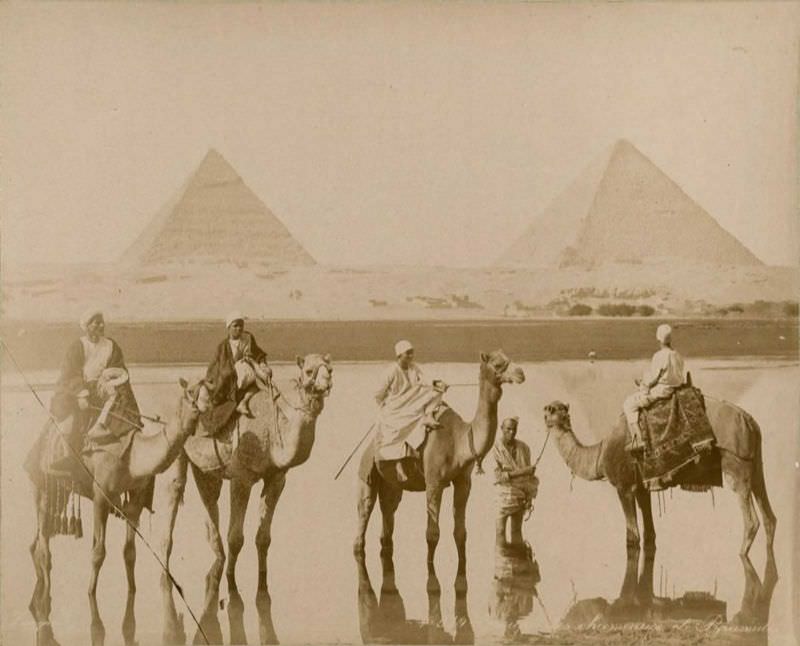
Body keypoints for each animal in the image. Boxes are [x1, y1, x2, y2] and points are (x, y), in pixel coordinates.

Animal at [26, 382, 205, 644]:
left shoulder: (136, 502)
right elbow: (98, 552)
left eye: (204, 392)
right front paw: (90, 592)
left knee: (41, 536)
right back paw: (45, 592)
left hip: (61, 491)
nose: (198, 414)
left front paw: (132, 590)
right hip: (40, 485)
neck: (133, 456)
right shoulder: (101, 496)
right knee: (43, 542)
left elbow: (129, 552)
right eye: (189, 394)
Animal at [158, 352, 332, 600]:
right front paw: (230, 580)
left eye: (330, 368)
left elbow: (264, 537)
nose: (327, 383)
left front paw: (262, 580)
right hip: (176, 443)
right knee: (175, 489)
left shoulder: (277, 477)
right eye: (308, 371)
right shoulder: (241, 477)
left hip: (206, 467)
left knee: (209, 495)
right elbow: (236, 538)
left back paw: (216, 558)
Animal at [354, 352, 528, 580]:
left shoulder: (464, 482)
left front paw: (462, 568)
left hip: (392, 484)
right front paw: (430, 569)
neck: (460, 439)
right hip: (366, 473)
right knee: (364, 512)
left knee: (388, 513)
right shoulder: (434, 481)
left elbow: (461, 532)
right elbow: (432, 533)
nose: (520, 373)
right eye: (498, 363)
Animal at [544, 400, 776, 556]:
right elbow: (649, 534)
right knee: (769, 515)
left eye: (553, 409)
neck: (599, 455)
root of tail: (750, 422)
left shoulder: (623, 486)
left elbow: (632, 538)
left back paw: (742, 555)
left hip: (736, 465)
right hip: (756, 464)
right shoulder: (641, 486)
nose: (553, 414)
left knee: (751, 519)